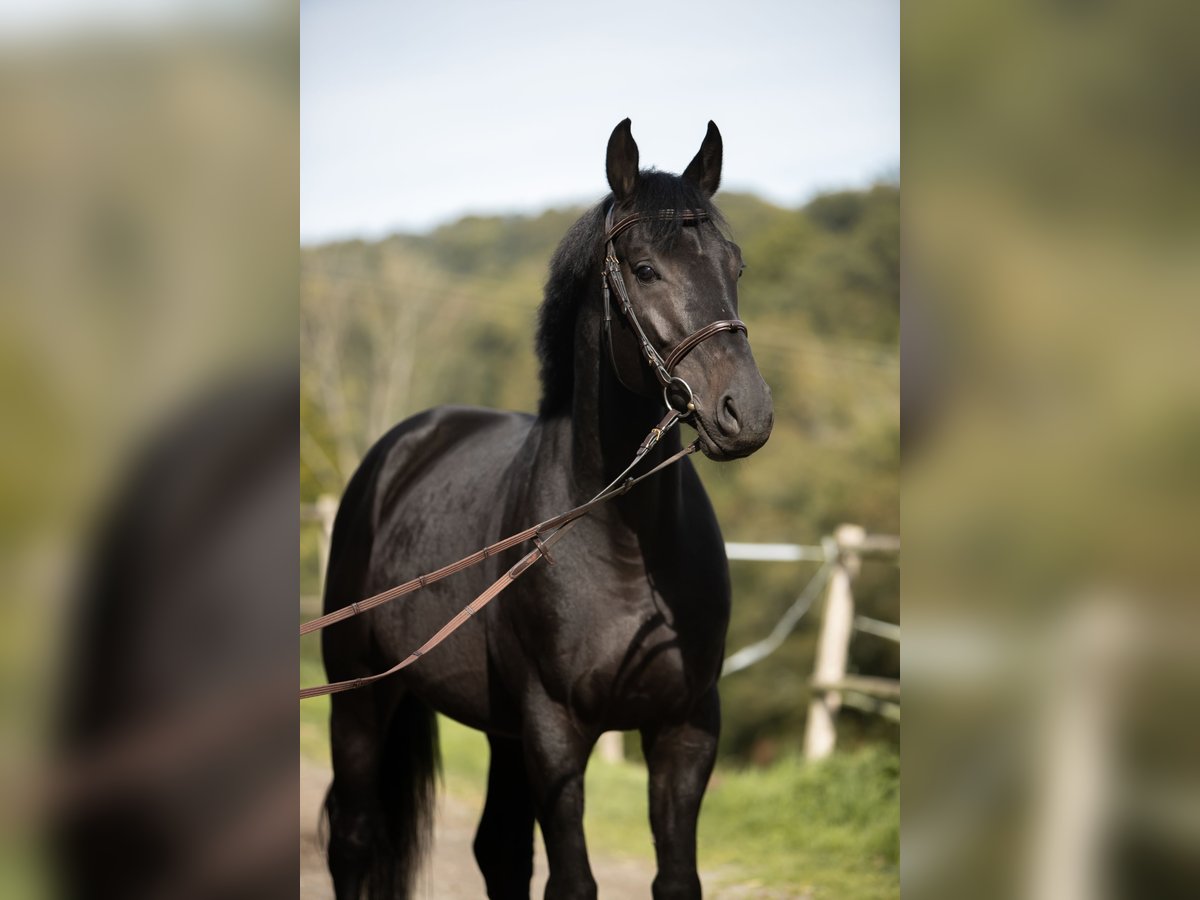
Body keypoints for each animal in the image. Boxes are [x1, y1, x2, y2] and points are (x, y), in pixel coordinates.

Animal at [321, 121, 768, 900]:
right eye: (646, 270)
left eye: (735, 265)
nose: (745, 413)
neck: (623, 541)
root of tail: (402, 447)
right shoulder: (555, 731)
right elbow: (573, 881)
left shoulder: (685, 728)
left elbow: (676, 878)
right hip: (359, 702)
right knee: (352, 838)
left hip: (499, 730)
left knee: (498, 850)